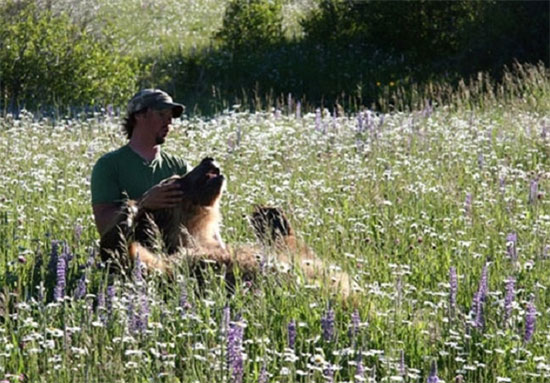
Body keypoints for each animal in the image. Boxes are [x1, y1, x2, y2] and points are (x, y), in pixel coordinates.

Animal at [100, 158, 354, 298]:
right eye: (176, 178)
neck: (195, 233)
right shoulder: (179, 263)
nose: (207, 159)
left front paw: (268, 216)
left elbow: (297, 250)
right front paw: (127, 214)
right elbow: (135, 262)